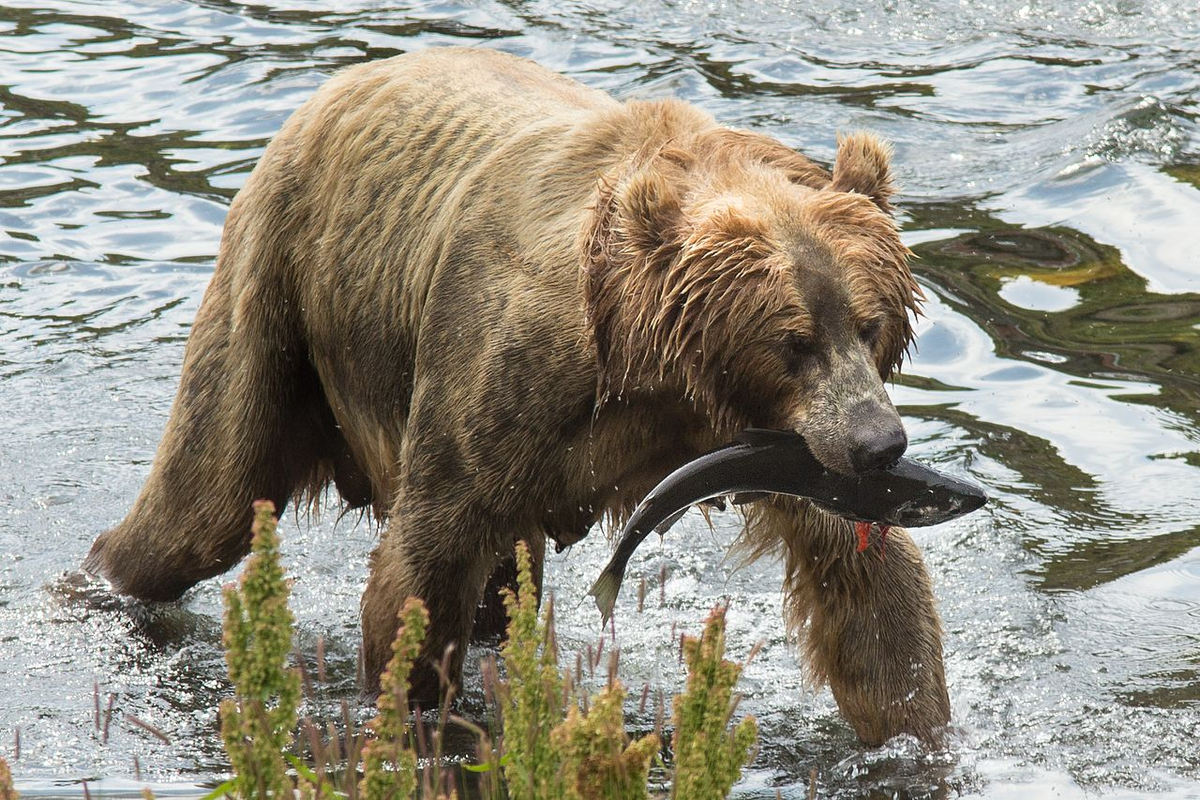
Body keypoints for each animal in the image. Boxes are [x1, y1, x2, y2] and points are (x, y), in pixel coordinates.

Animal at [82, 45, 945, 743]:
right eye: (792, 342)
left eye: (868, 325)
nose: (880, 444)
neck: (659, 371)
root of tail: (340, 83)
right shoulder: (509, 377)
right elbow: (422, 571)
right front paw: (414, 716)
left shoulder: (773, 447)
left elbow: (871, 594)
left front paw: (912, 733)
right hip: (280, 293)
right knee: (204, 503)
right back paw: (101, 581)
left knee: (503, 582)